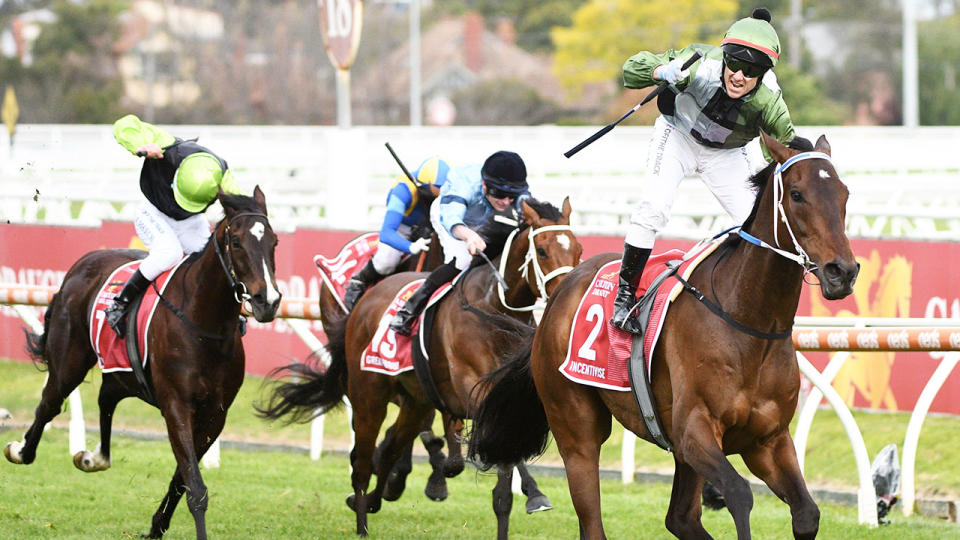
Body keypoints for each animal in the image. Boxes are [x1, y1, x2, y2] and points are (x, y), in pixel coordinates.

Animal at [4, 187, 282, 540]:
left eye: (274, 242)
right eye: (236, 242)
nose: (267, 301)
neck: (205, 324)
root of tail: (82, 263)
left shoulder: (214, 415)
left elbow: (181, 480)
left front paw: (155, 527)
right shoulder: (176, 405)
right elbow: (195, 486)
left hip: (121, 372)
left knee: (105, 398)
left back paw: (95, 458)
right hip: (69, 361)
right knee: (49, 403)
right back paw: (20, 450)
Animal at [258, 196, 580, 536]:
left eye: (579, 249)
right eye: (541, 250)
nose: (566, 294)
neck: (494, 311)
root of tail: (366, 301)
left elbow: (501, 489)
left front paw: (532, 495)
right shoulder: (472, 393)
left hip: (415, 402)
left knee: (389, 447)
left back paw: (373, 498)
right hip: (368, 395)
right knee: (362, 460)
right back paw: (362, 522)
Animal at [468, 132, 860, 540]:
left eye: (844, 193)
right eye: (797, 194)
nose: (842, 272)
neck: (749, 320)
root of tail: (561, 291)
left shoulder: (767, 439)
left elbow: (806, 512)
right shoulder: (695, 432)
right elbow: (740, 494)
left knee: (680, 518)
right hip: (576, 427)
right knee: (592, 516)